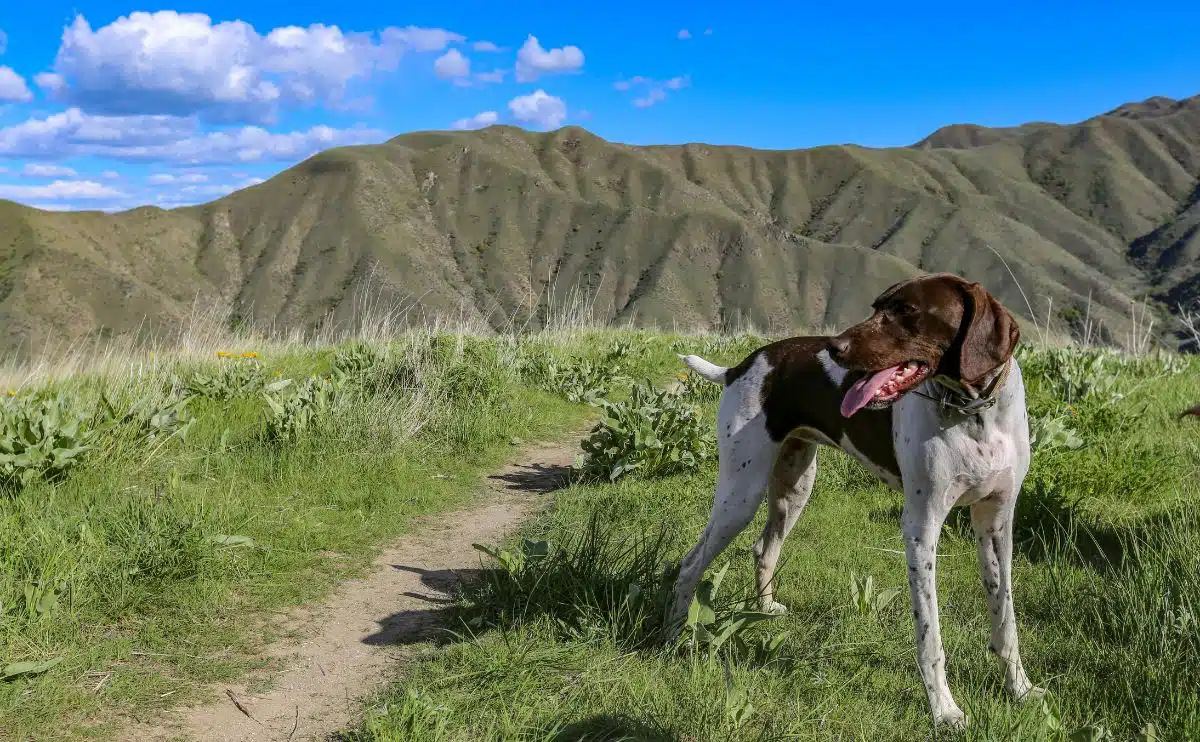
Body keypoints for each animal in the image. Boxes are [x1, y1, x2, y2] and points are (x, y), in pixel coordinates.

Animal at [672, 270, 1046, 720]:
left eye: (907, 311)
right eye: (875, 307)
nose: (835, 348)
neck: (974, 414)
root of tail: (739, 366)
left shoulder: (996, 525)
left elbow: (1006, 622)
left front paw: (1020, 690)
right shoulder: (921, 529)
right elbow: (930, 638)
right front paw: (943, 710)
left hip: (794, 487)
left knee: (764, 548)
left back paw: (763, 609)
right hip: (740, 495)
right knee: (691, 563)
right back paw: (675, 633)